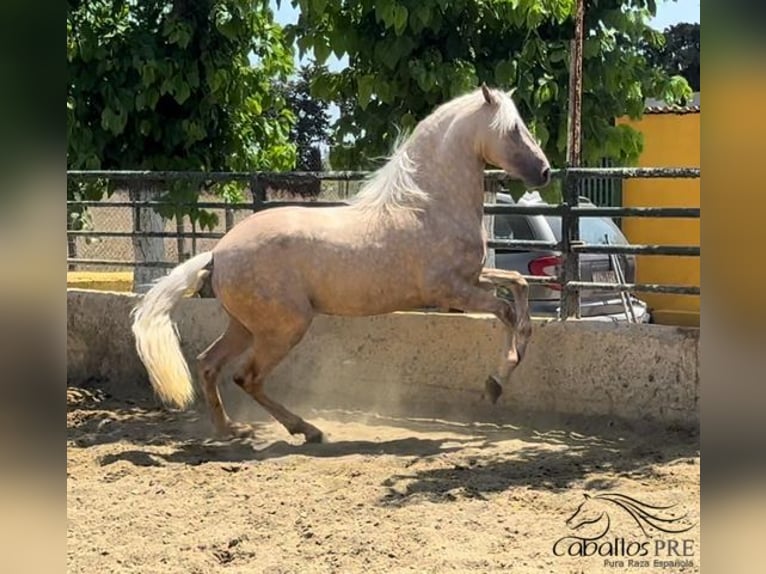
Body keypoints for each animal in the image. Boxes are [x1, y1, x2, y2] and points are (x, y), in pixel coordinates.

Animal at [132, 84, 552, 446]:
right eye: (513, 129)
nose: (545, 171)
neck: (427, 205)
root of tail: (218, 254)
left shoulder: (472, 277)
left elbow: (518, 285)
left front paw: (510, 363)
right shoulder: (452, 290)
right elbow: (505, 310)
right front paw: (496, 383)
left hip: (246, 326)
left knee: (208, 364)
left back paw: (230, 430)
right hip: (284, 327)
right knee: (245, 377)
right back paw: (307, 430)